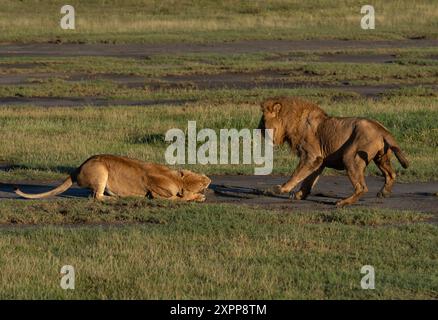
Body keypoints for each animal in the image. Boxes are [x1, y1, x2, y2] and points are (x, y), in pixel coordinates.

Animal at [258, 96, 408, 206]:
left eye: (263, 119)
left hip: (349, 156)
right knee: (391, 174)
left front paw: (278, 189)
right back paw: (384, 193)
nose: (258, 128)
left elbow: (296, 175)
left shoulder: (311, 156)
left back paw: (343, 202)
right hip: (381, 158)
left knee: (362, 187)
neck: (290, 121)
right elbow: (308, 180)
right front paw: (299, 195)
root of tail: (382, 129)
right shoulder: (319, 160)